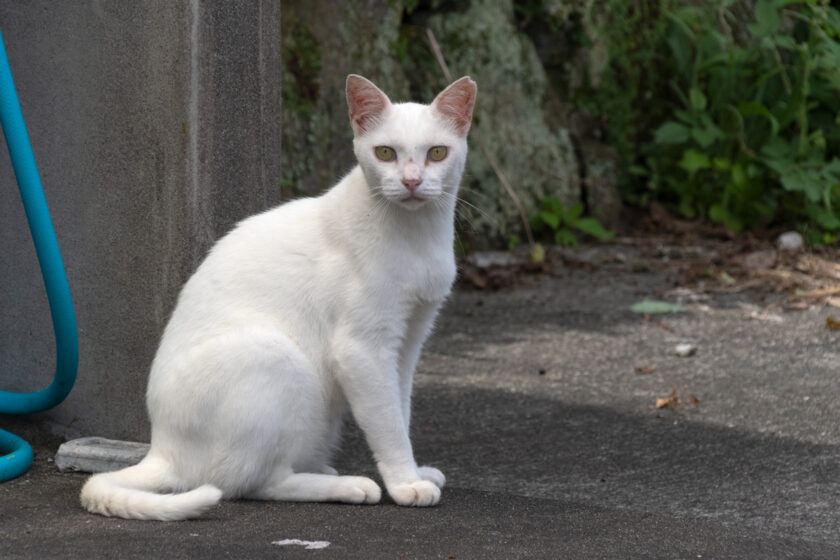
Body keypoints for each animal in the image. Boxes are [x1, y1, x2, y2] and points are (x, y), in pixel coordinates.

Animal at [81, 74, 476, 520]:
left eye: (437, 153)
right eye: (386, 152)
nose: (410, 181)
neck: (417, 236)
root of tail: (161, 449)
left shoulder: (408, 342)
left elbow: (400, 411)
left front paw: (415, 471)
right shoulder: (362, 348)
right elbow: (387, 424)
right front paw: (405, 483)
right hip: (274, 355)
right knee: (247, 483)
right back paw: (347, 485)